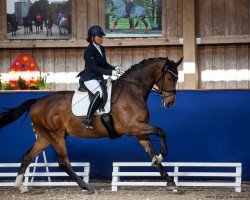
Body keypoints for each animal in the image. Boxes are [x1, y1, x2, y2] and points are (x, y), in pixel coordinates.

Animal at [0, 57, 184, 195]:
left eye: (177, 78)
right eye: (170, 78)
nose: (170, 103)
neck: (132, 92)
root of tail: (37, 101)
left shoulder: (140, 131)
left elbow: (152, 150)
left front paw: (169, 180)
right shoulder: (133, 127)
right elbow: (161, 131)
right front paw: (161, 156)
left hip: (45, 137)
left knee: (27, 156)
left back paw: (20, 187)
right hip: (56, 136)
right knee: (63, 162)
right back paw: (87, 187)